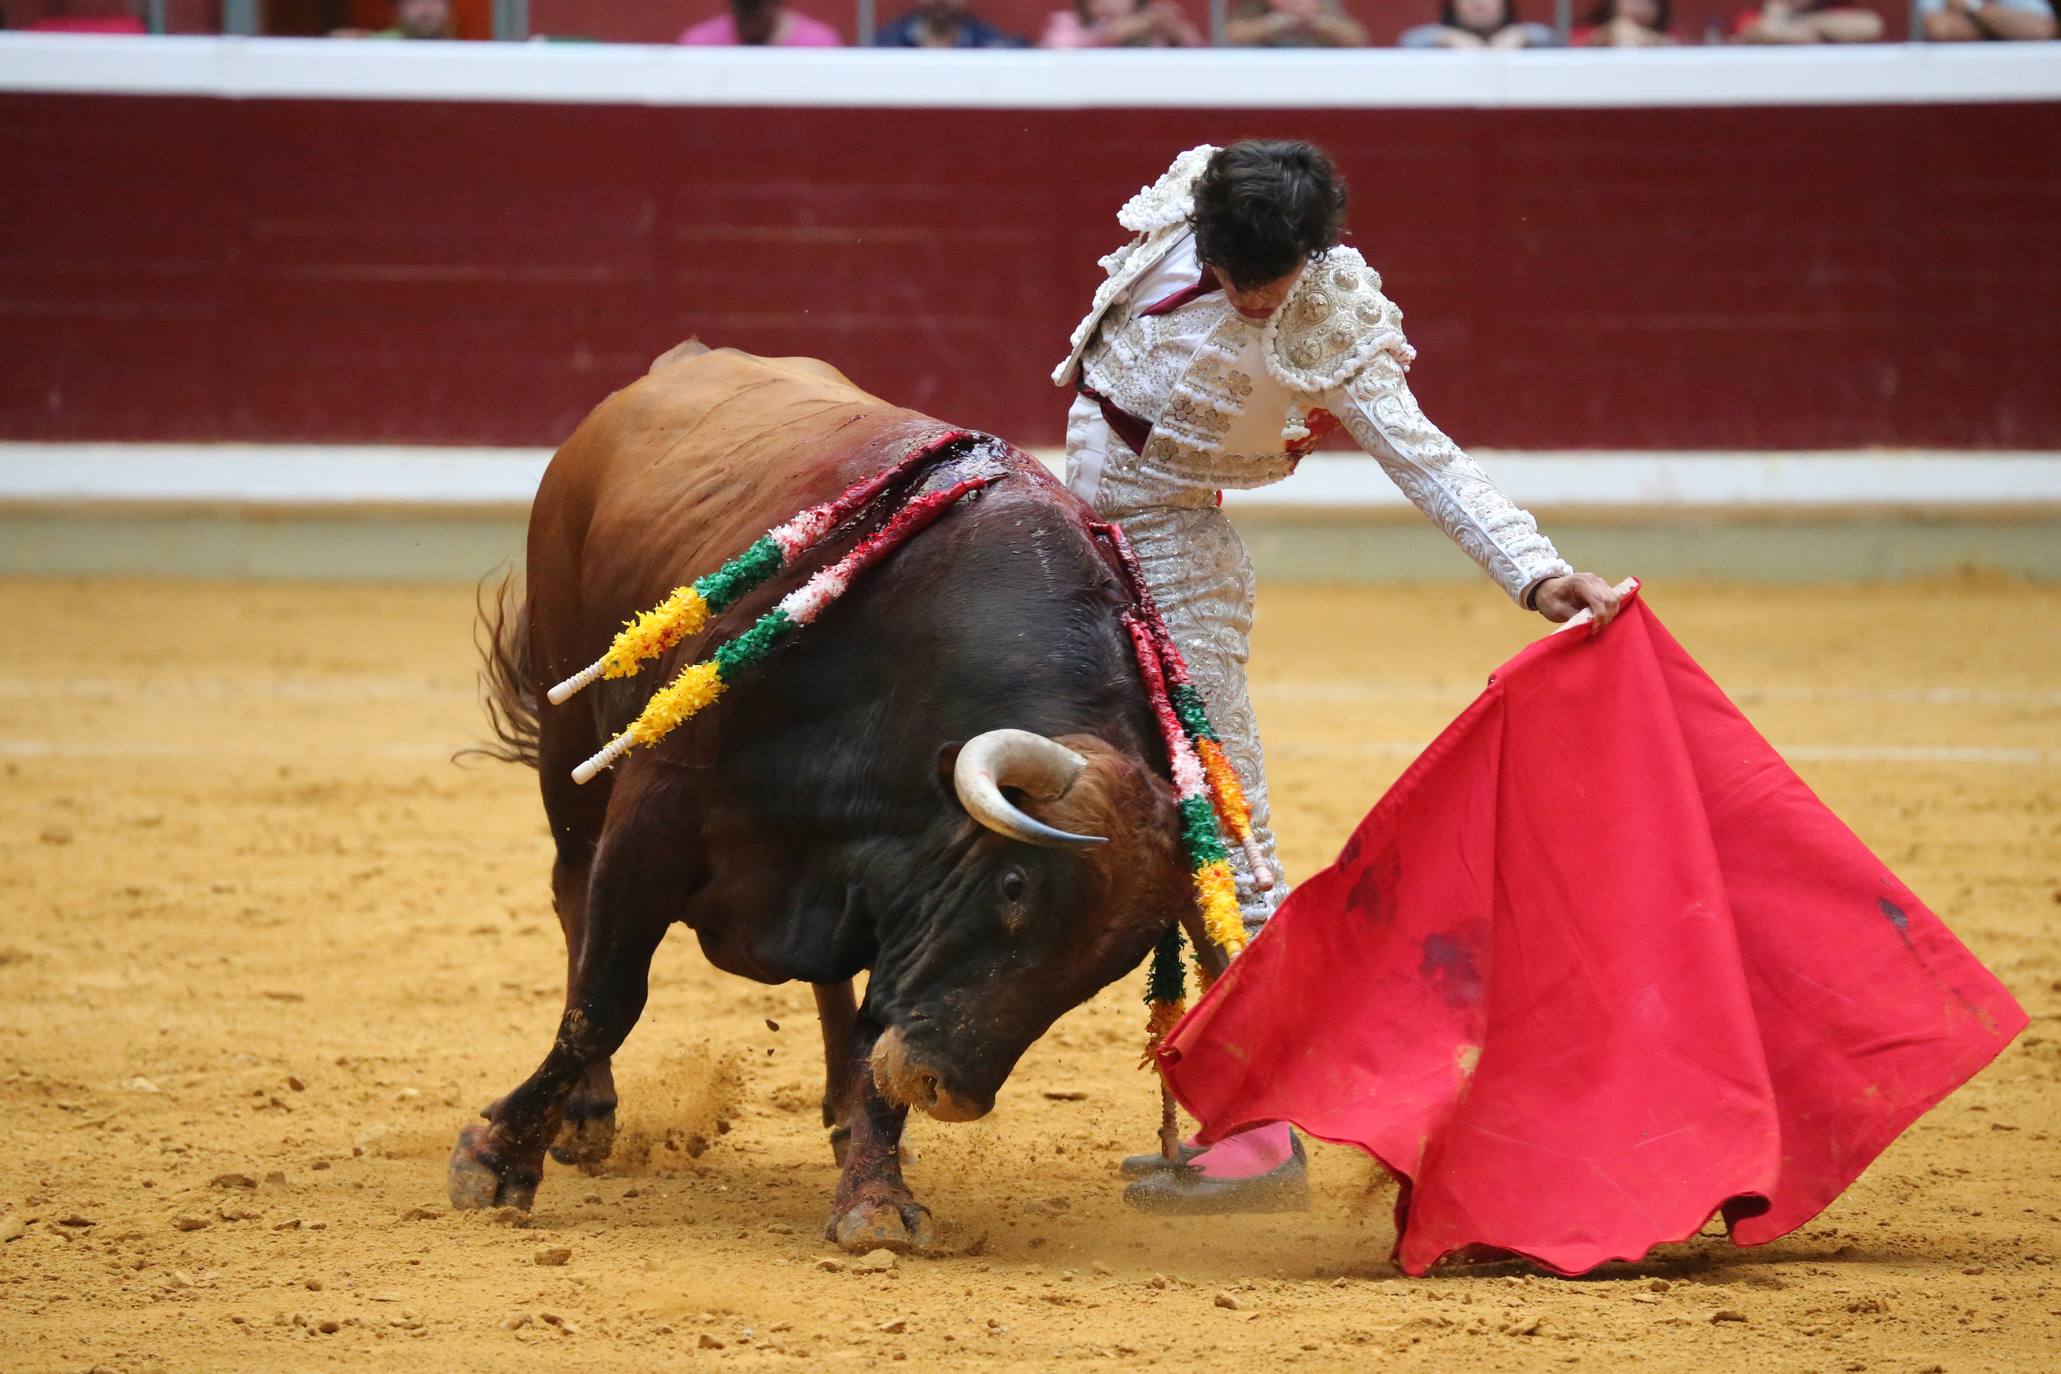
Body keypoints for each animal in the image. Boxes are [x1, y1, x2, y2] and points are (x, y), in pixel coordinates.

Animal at [449, 350, 1195, 1252]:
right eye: (1016, 886)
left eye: (1114, 962)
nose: (945, 1089)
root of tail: (680, 361)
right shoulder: (653, 817)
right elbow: (608, 997)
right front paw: (498, 1158)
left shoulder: (897, 888)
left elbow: (875, 1024)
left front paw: (875, 1196)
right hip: (568, 744)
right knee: (572, 899)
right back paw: (587, 1113)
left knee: (831, 989)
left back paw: (840, 1111)